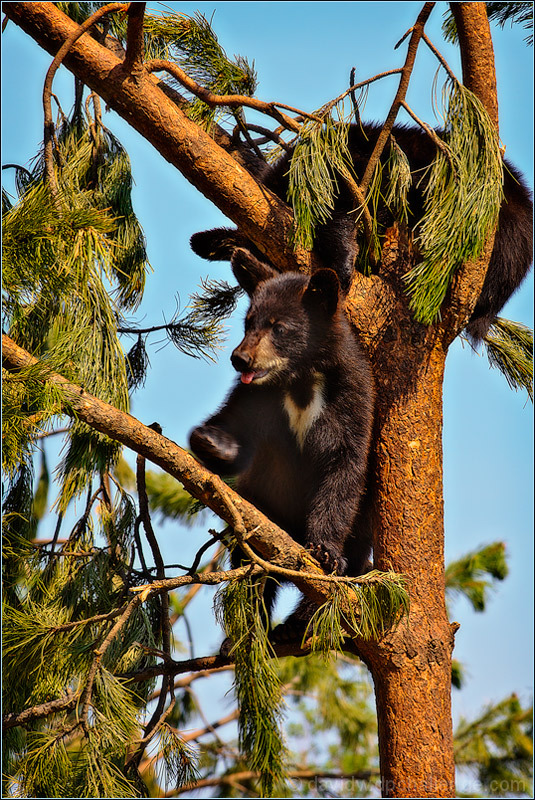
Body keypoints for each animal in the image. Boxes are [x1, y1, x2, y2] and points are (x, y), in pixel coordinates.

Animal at [189, 249, 375, 640]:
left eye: (280, 327)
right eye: (248, 322)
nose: (240, 358)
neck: (300, 378)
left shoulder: (352, 398)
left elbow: (345, 467)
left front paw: (326, 551)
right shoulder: (255, 397)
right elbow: (234, 422)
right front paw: (212, 442)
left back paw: (301, 620)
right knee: (252, 575)